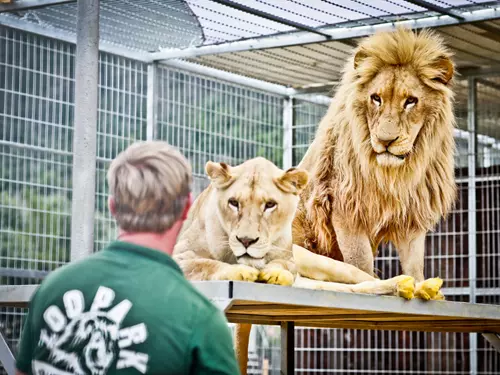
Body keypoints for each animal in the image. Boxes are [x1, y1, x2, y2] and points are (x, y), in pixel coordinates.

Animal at [292, 27, 458, 302]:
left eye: (410, 101)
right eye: (376, 98)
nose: (385, 140)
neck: (393, 172)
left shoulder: (412, 214)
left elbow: (415, 263)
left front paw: (422, 285)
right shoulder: (346, 210)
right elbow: (361, 263)